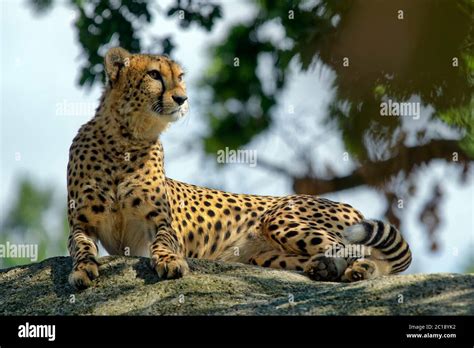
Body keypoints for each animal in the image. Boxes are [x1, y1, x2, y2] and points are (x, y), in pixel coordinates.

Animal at [66, 47, 412, 290]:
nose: (182, 98)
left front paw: (170, 262)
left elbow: (164, 242)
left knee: (357, 251)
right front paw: (82, 270)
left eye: (181, 76)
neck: (124, 141)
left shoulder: (160, 223)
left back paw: (359, 270)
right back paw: (328, 268)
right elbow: (80, 248)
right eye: (154, 75)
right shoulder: (82, 224)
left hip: (282, 219)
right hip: (265, 255)